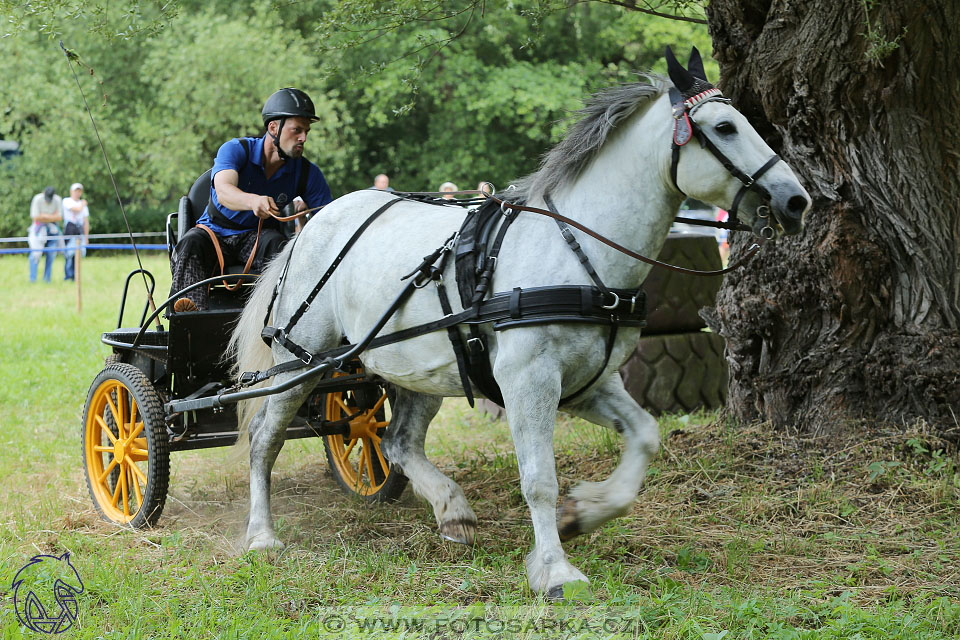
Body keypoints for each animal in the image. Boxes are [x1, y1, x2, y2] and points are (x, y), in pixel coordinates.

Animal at [231, 47, 808, 596]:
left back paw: (452, 510)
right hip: (298, 361)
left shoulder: (589, 382)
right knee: (265, 438)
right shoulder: (529, 381)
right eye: (725, 127)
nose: (796, 200)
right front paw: (555, 569)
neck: (575, 249)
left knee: (397, 441)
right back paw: (261, 535)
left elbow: (645, 435)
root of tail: (311, 223)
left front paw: (586, 512)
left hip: (416, 368)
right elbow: (538, 479)